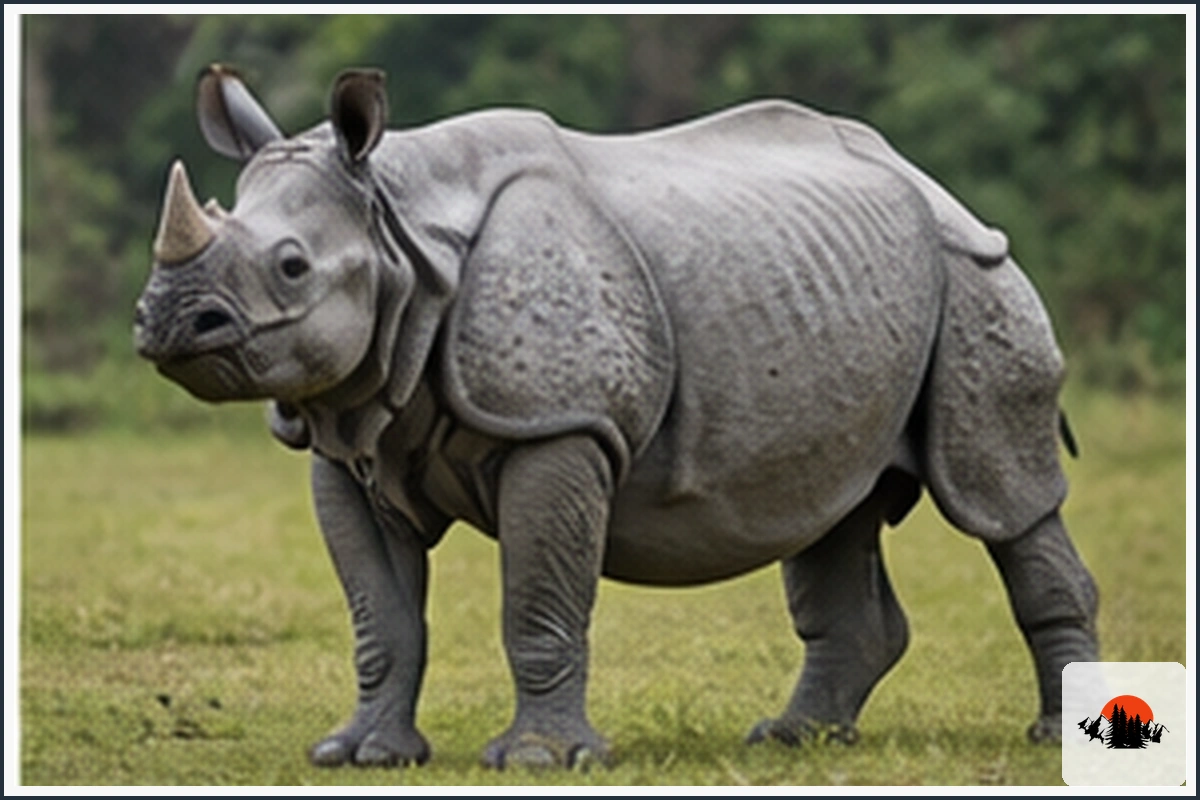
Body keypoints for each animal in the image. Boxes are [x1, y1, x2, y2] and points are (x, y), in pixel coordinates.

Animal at [134, 66, 1099, 769]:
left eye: (292, 267)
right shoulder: (348, 435)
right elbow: (381, 614)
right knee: (829, 506)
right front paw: (359, 755)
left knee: (999, 499)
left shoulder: (561, 424)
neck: (402, 227)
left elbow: (538, 597)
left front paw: (538, 761)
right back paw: (794, 741)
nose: (169, 321)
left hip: (972, 274)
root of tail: (929, 181)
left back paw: (1051, 740)